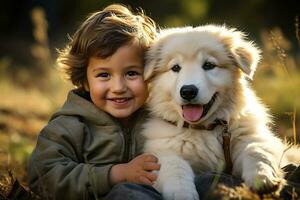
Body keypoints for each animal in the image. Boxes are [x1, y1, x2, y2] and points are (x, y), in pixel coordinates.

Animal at [141, 25, 300, 200]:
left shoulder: (253, 137)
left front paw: (263, 179)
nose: (188, 91)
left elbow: (256, 150)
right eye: (175, 68)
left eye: (209, 65)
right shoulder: (160, 152)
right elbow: (174, 167)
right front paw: (182, 193)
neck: (205, 128)